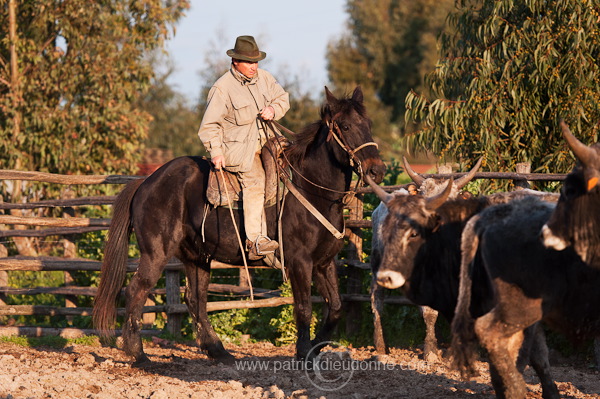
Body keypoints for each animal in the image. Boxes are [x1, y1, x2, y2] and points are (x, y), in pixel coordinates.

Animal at [92, 86, 384, 366]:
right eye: (345, 126)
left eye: (368, 123)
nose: (377, 170)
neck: (311, 190)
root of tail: (146, 182)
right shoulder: (300, 263)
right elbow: (304, 309)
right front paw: (303, 353)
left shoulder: (324, 263)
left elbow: (335, 308)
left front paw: (315, 347)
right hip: (156, 254)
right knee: (136, 292)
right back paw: (139, 355)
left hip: (197, 257)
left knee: (195, 300)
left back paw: (217, 350)